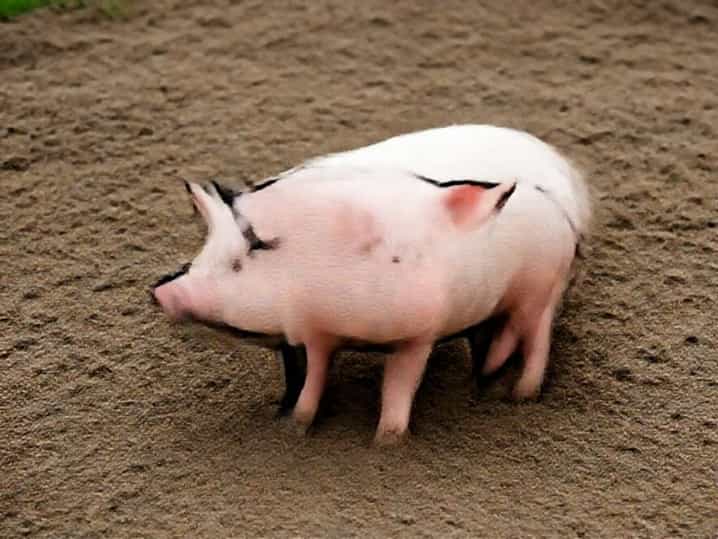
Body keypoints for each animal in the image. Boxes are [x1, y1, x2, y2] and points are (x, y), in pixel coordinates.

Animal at [152, 124, 590, 445]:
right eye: (209, 248)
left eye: (258, 245)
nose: (162, 290)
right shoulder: (313, 337)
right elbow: (306, 385)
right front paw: (289, 425)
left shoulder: (418, 334)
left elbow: (397, 393)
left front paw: (386, 444)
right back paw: (479, 379)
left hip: (542, 289)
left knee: (535, 339)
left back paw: (518, 395)